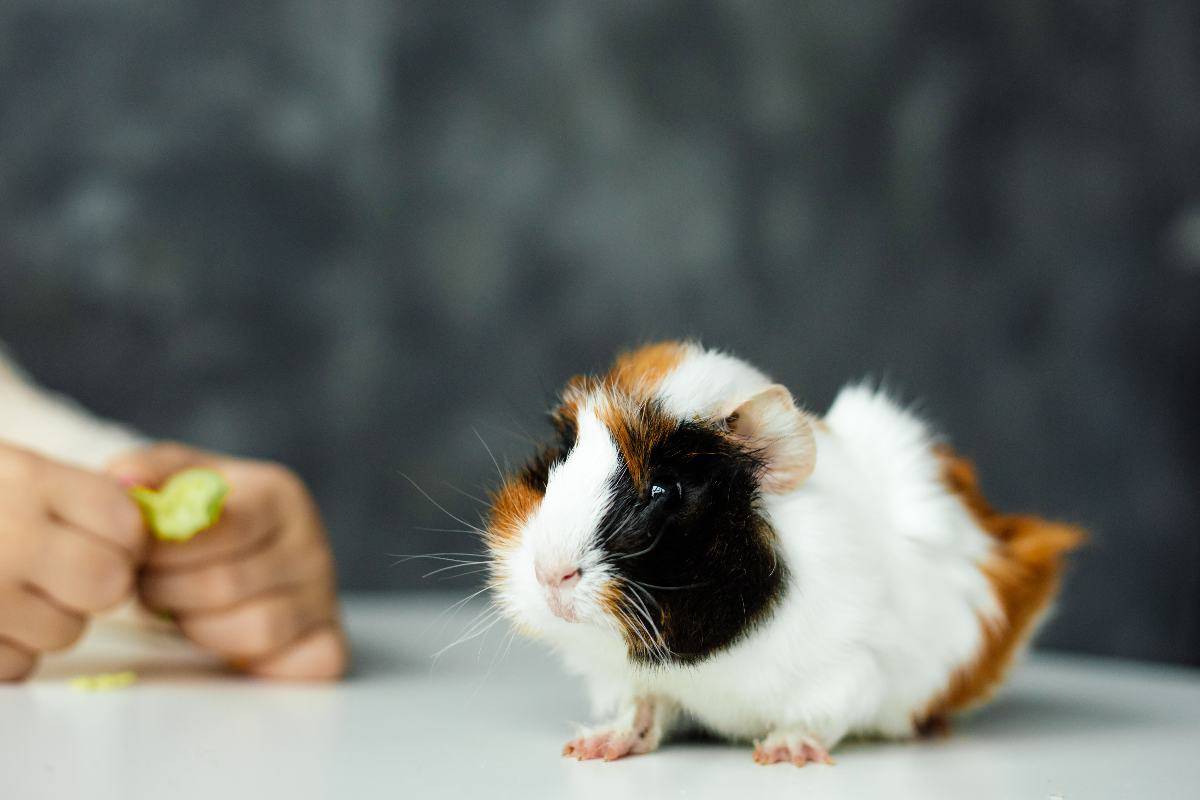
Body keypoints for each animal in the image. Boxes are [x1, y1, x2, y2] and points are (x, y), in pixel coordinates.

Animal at [483, 341, 1083, 766]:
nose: (549, 573)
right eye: (558, 461)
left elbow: (823, 717)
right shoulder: (645, 683)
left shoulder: (850, 673)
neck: (703, 664)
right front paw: (592, 747)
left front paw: (783, 753)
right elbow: (642, 710)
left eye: (662, 490)